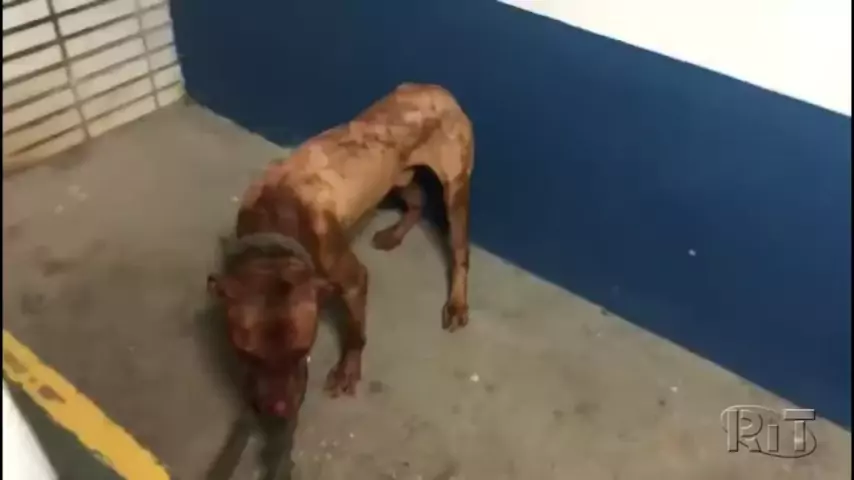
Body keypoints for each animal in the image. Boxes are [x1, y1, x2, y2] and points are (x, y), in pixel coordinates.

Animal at [207, 83, 474, 418]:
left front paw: (348, 370)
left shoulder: (353, 279)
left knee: (459, 251)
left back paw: (457, 303)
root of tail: (437, 89)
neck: (277, 218)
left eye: (303, 350)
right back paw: (394, 234)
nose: (278, 411)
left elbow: (355, 333)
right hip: (395, 177)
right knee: (418, 200)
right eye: (247, 354)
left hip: (454, 191)